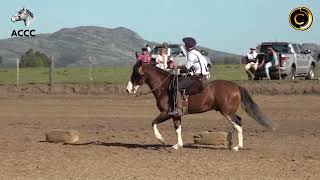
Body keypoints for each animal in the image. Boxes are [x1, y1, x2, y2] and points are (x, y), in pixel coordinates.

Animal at [127, 61, 276, 150]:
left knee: (238, 124)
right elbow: (177, 129)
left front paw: (162, 140)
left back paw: (237, 147)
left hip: (227, 112)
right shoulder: (176, 115)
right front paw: (177, 145)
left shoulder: (166, 113)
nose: (128, 90)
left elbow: (153, 123)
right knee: (237, 122)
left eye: (135, 73)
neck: (165, 87)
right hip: (228, 112)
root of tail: (236, 86)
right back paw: (229, 141)